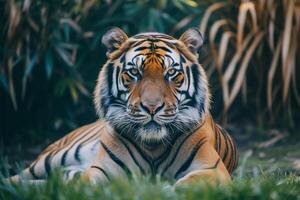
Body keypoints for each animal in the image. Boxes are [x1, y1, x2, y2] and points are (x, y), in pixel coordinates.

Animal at [8, 27, 238, 185]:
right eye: (134, 73)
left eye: (171, 73)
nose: (152, 108)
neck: (153, 146)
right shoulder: (101, 171)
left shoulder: (212, 169)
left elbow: (186, 184)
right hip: (54, 157)